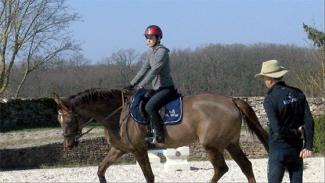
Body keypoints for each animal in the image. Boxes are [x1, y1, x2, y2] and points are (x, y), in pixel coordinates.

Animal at [53, 88, 268, 182]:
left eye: (69, 120)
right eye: (58, 120)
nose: (68, 144)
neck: (117, 113)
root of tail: (231, 100)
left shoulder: (138, 150)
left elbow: (149, 176)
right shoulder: (119, 149)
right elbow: (100, 170)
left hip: (212, 146)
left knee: (221, 169)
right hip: (231, 143)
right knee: (246, 166)